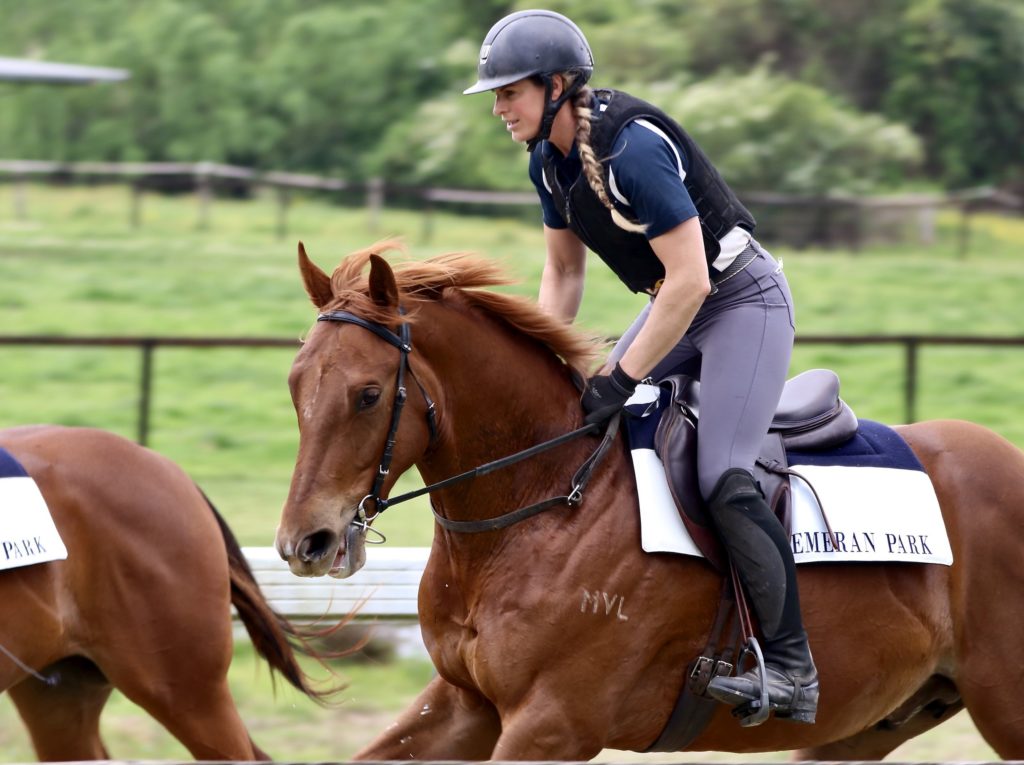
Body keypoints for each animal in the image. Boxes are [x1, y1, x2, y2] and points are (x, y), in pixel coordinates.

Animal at [275, 241, 1024, 760]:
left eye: (369, 394)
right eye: (295, 383)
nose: (303, 544)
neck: (543, 496)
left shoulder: (552, 725)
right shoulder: (467, 704)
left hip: (1002, 701)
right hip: (872, 722)